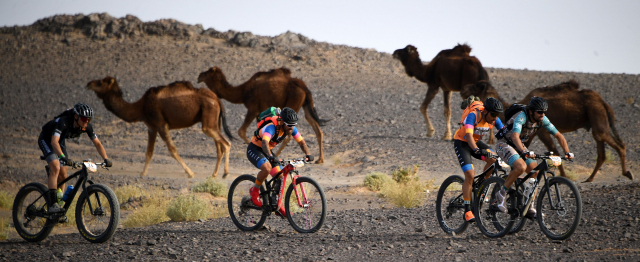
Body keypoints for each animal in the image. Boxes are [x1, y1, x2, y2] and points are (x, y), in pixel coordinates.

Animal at [86, 75, 234, 178]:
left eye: (100, 82)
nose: (88, 84)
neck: (140, 107)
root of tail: (217, 99)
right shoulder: (151, 127)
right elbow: (149, 152)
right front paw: (143, 173)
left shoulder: (161, 124)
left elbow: (172, 150)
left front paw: (190, 173)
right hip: (213, 121)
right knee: (219, 147)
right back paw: (214, 174)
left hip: (209, 118)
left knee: (226, 143)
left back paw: (225, 173)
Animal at [196, 66, 328, 163]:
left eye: (208, 72)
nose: (199, 76)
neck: (243, 92)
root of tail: (304, 88)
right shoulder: (259, 113)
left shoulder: (253, 108)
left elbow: (241, 131)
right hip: (305, 104)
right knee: (316, 128)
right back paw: (320, 159)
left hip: (294, 102)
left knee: (290, 135)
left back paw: (278, 154)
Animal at [460, 80, 636, 182]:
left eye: (476, 85)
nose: (463, 90)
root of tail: (603, 102)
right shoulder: (531, 134)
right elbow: (529, 148)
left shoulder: (542, 131)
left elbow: (554, 149)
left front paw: (562, 175)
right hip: (595, 119)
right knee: (602, 151)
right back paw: (589, 179)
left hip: (597, 115)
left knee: (617, 145)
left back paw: (627, 173)